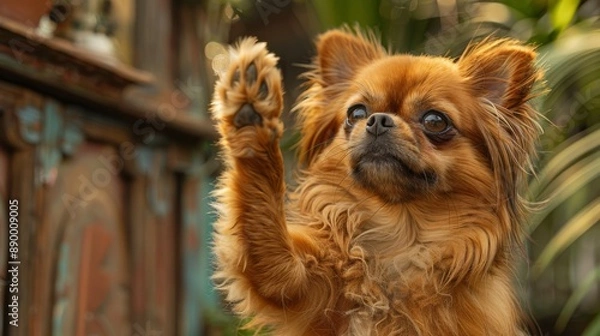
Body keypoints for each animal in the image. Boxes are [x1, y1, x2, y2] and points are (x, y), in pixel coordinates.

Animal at [209, 27, 540, 334]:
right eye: (356, 113)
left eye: (435, 121)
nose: (378, 120)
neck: (398, 233)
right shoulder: (289, 279)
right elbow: (262, 216)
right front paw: (250, 111)